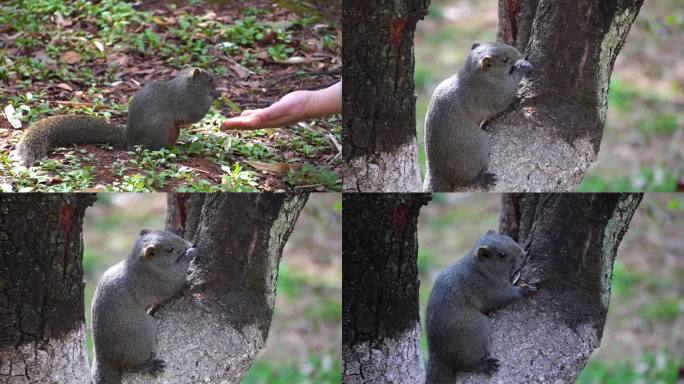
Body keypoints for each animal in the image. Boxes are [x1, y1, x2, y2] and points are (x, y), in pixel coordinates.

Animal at [14, 67, 218, 166]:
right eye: (209, 79)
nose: (216, 86)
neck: (187, 84)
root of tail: (128, 138)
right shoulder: (188, 101)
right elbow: (196, 114)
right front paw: (214, 96)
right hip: (159, 130)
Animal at [91, 230, 198, 382]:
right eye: (169, 250)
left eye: (169, 232)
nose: (188, 244)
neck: (141, 265)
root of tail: (107, 358)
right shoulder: (160, 281)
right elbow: (175, 281)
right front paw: (190, 253)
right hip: (142, 334)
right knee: (131, 364)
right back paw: (148, 365)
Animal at [422, 42, 536, 191]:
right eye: (505, 59)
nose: (519, 53)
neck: (474, 75)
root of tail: (438, 171)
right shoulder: (495, 92)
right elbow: (508, 94)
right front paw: (523, 66)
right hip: (475, 148)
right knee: (464, 179)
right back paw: (481, 179)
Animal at [424, 230, 536, 382]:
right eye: (502, 255)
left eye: (509, 238)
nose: (523, 254)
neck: (480, 269)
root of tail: (439, 353)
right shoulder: (485, 288)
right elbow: (503, 296)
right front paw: (524, 290)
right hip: (474, 329)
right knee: (464, 363)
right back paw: (482, 364)